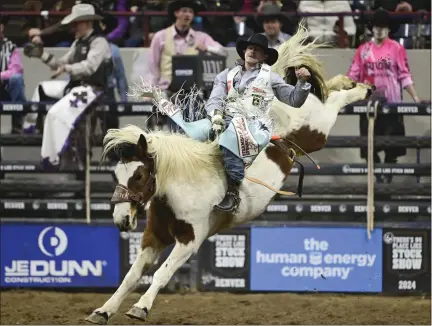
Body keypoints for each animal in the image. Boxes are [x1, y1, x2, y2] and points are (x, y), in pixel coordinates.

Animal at [85, 22, 374, 324]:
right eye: (116, 175)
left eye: (139, 176)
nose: (119, 219)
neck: (182, 186)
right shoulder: (153, 236)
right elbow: (131, 276)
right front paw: (103, 310)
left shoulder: (190, 240)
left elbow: (161, 274)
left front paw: (141, 307)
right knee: (327, 92)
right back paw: (346, 81)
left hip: (318, 127)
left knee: (334, 101)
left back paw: (363, 88)